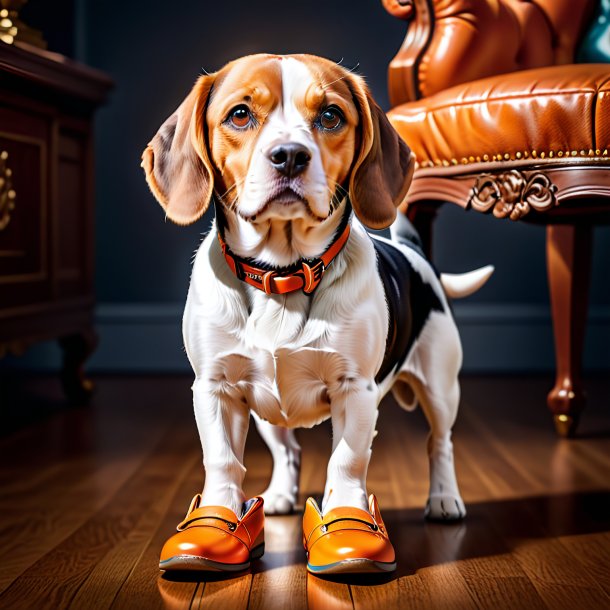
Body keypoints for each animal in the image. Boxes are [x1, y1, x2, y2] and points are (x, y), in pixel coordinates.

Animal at [141, 53, 490, 560]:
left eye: (330, 116)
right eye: (240, 114)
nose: (289, 155)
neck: (283, 272)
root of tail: (414, 252)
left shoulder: (355, 390)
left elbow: (346, 461)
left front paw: (346, 522)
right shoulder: (215, 387)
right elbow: (223, 461)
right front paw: (216, 524)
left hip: (441, 386)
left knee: (439, 442)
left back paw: (445, 498)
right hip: (265, 411)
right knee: (287, 451)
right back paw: (281, 496)